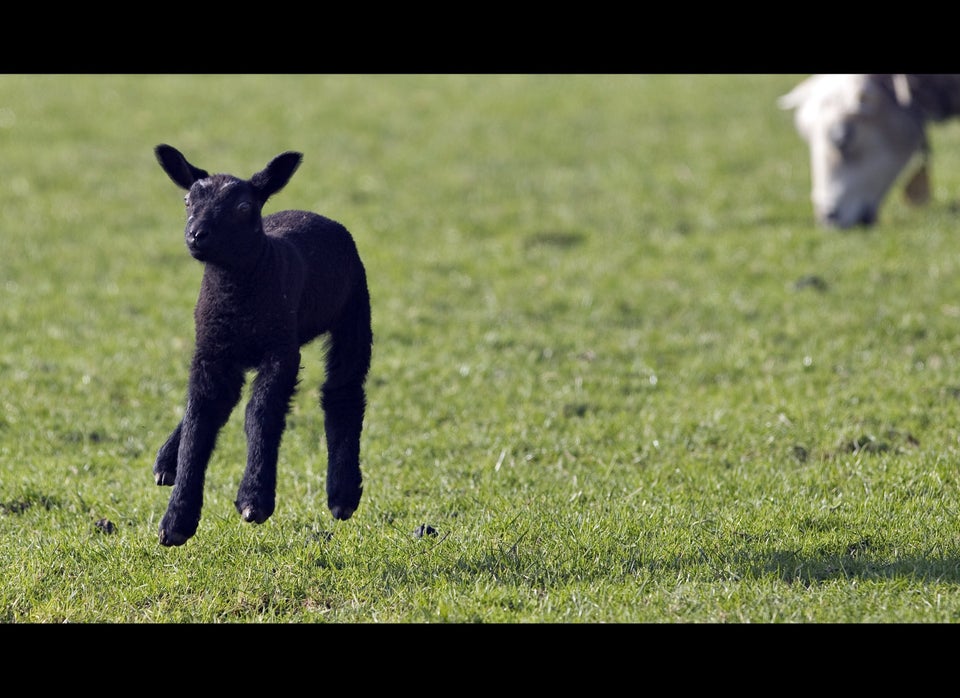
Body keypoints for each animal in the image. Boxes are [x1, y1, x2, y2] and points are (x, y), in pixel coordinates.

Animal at [152, 144, 374, 548]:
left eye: (243, 208)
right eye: (188, 200)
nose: (196, 235)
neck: (236, 294)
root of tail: (315, 214)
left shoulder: (280, 353)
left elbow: (260, 413)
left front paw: (254, 499)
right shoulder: (210, 352)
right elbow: (200, 419)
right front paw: (177, 520)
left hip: (353, 313)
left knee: (343, 393)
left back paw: (343, 494)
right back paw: (166, 461)